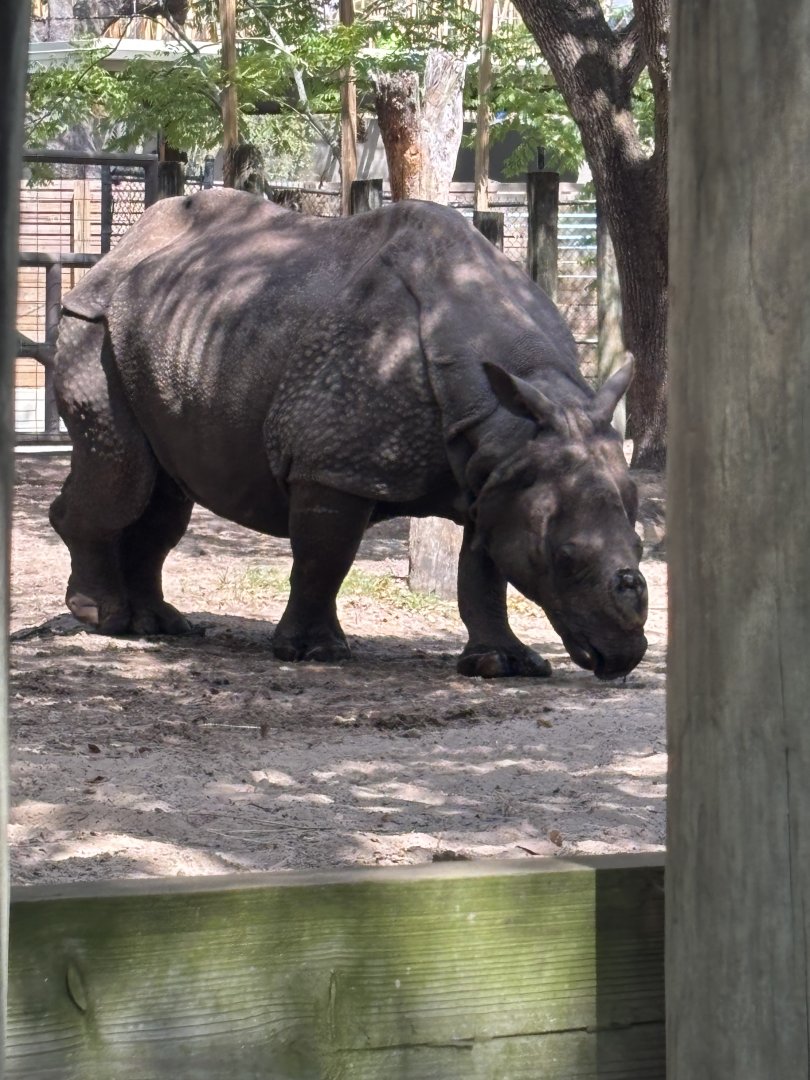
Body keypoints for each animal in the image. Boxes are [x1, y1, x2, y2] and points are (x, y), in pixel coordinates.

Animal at [50, 189, 647, 680]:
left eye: (642, 547)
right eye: (566, 558)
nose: (624, 658)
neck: (509, 418)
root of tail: (121, 250)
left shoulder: (500, 474)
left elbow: (486, 569)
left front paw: (503, 664)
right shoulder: (334, 463)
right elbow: (325, 556)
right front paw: (314, 654)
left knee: (165, 494)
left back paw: (159, 626)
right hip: (90, 323)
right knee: (124, 476)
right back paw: (101, 616)